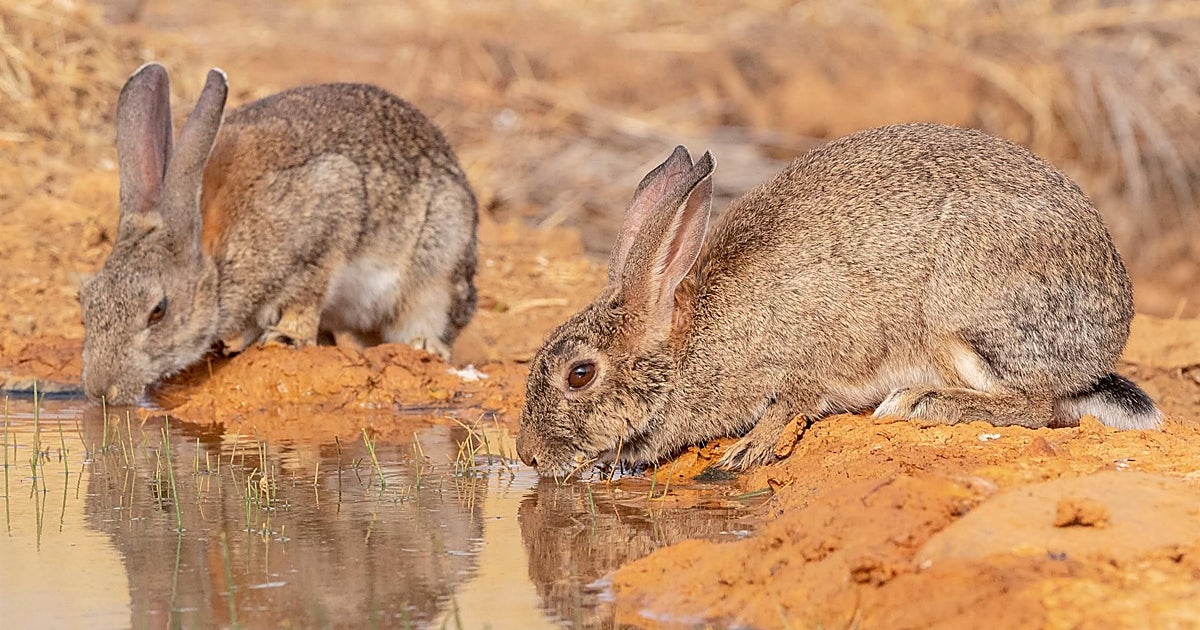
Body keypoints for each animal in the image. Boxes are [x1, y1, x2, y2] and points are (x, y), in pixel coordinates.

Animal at [79, 63, 478, 405]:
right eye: (85, 301)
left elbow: (306, 297)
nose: (100, 390)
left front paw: (285, 338)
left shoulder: (327, 221)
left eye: (158, 312)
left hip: (438, 264)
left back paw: (423, 346)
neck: (217, 261)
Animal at [515, 123, 1162, 478]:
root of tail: (1105, 340)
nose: (525, 457)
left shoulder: (808, 355)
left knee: (1035, 406)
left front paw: (744, 453)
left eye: (580, 375)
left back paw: (921, 402)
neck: (690, 344)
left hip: (960, 319)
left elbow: (788, 403)